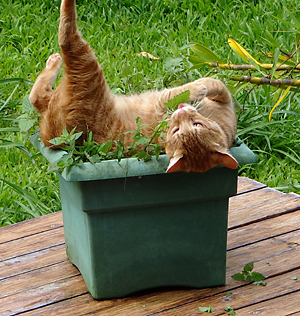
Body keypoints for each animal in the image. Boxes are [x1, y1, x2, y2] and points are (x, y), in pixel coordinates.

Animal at [29, 0, 237, 173]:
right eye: (177, 130)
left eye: (192, 126)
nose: (181, 111)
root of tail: (54, 139)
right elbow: (214, 83)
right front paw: (201, 87)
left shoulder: (162, 103)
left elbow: (201, 86)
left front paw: (199, 88)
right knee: (40, 91)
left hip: (85, 65)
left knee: (62, 43)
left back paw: (54, 58)